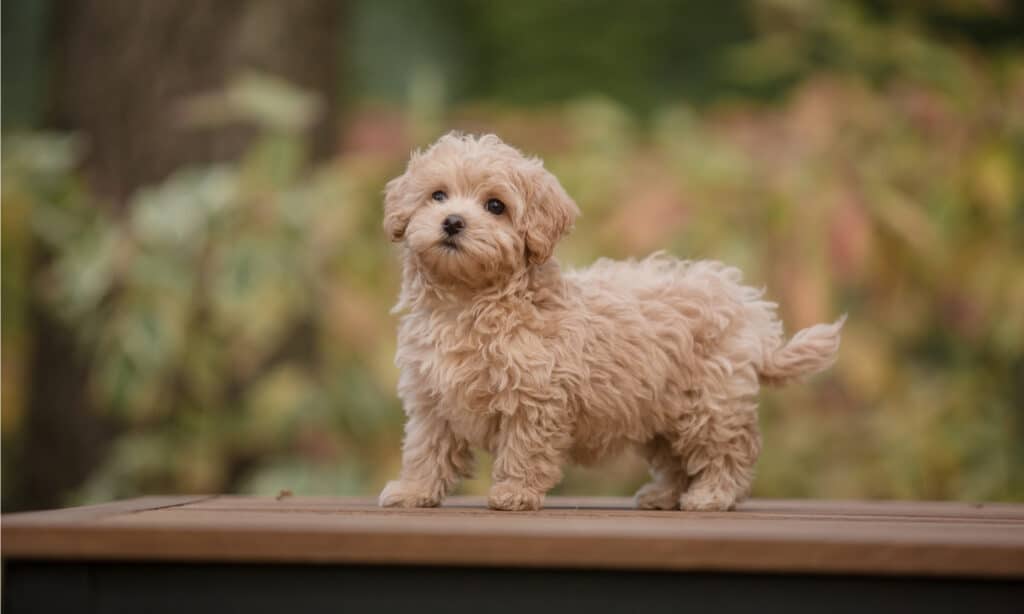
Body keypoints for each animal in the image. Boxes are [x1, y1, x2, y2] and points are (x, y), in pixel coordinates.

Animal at [380, 134, 843, 513]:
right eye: (438, 195)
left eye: (496, 205)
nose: (453, 222)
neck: (467, 303)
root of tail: (748, 306)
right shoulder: (432, 398)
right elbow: (426, 450)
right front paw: (413, 491)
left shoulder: (535, 397)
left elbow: (524, 449)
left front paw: (514, 492)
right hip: (661, 412)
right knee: (677, 460)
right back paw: (663, 496)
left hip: (710, 403)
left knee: (729, 452)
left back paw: (712, 496)